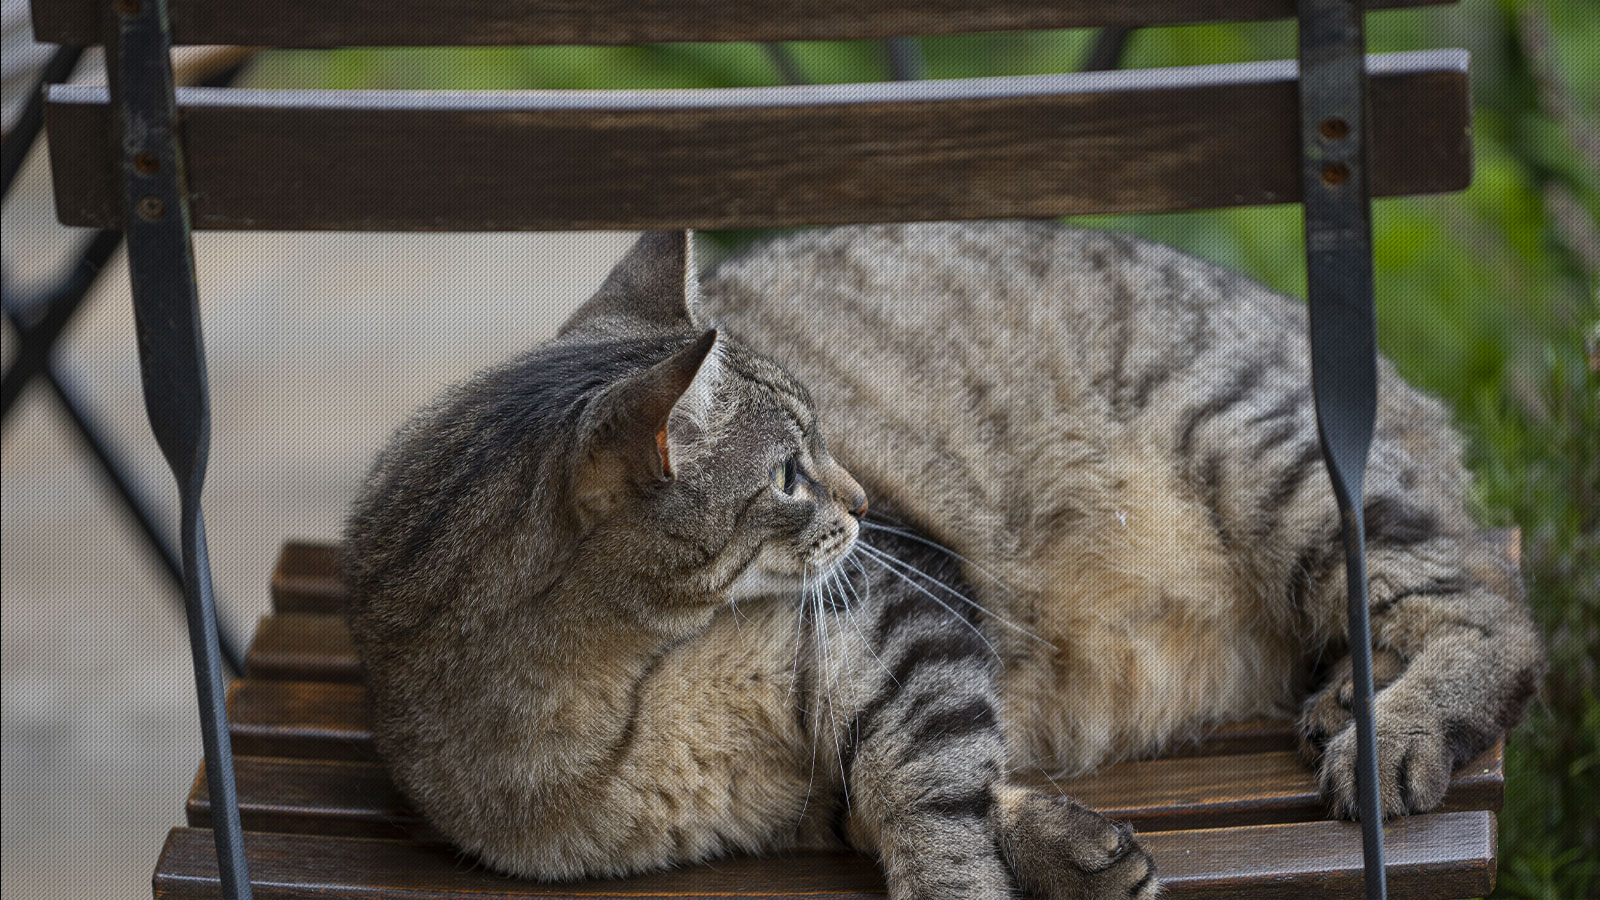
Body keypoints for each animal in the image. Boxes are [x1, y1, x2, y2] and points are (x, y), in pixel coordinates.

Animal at [344, 222, 1542, 896]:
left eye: (823, 443)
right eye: (791, 474)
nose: (862, 500)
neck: (613, 706)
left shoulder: (902, 608)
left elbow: (923, 795)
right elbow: (908, 792)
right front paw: (1068, 847)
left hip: (1263, 450)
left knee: (1491, 603)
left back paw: (1398, 727)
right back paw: (1344, 696)